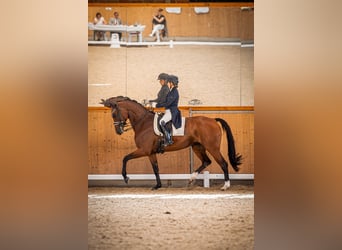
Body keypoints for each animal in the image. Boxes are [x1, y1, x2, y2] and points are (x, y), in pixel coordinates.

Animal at [100, 95, 242, 189]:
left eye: (114, 114)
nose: (118, 131)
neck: (143, 122)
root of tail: (213, 120)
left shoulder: (144, 150)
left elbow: (125, 158)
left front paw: (126, 178)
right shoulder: (151, 153)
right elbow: (155, 168)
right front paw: (158, 185)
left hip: (212, 147)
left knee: (223, 163)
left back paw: (226, 185)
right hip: (197, 147)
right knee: (206, 161)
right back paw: (191, 179)